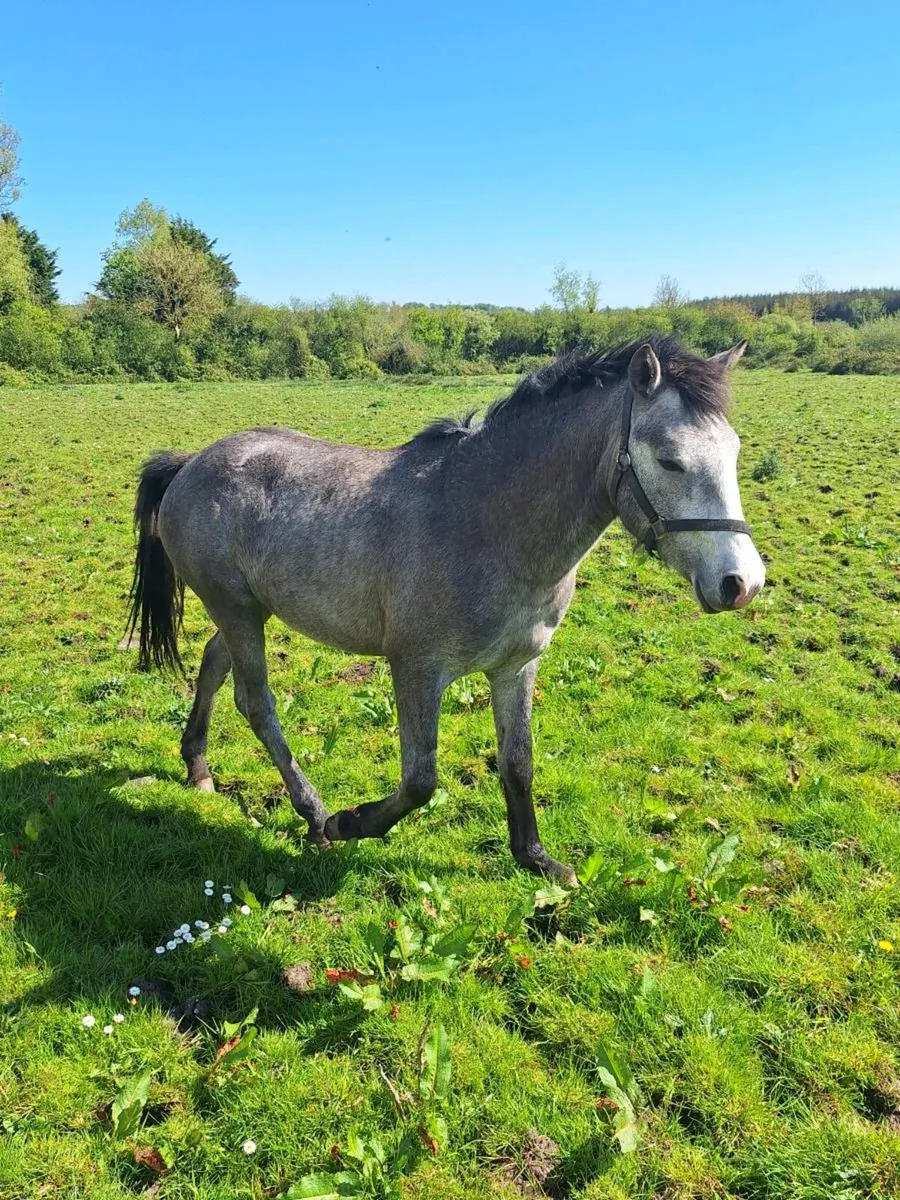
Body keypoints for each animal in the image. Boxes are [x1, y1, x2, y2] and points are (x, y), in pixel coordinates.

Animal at [127, 336, 765, 886]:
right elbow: (420, 780)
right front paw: (351, 823)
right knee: (256, 703)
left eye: (734, 451)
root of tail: (192, 462)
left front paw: (535, 858)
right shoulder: (416, 668)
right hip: (236, 609)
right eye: (671, 460)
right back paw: (313, 813)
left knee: (213, 665)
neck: (488, 525)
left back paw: (198, 768)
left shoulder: (516, 667)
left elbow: (517, 763)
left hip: (246, 612)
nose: (743, 583)